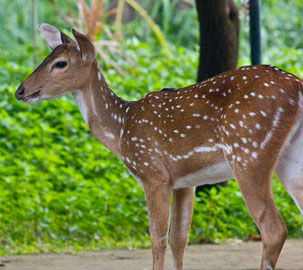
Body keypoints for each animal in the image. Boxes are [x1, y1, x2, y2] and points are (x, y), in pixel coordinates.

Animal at [16, 24, 303, 268]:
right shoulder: (186, 182)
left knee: (274, 229)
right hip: (290, 160)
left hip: (249, 152)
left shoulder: (153, 174)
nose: (20, 90)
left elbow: (157, 237)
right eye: (46, 57)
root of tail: (297, 86)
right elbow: (179, 239)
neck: (121, 129)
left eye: (60, 63)